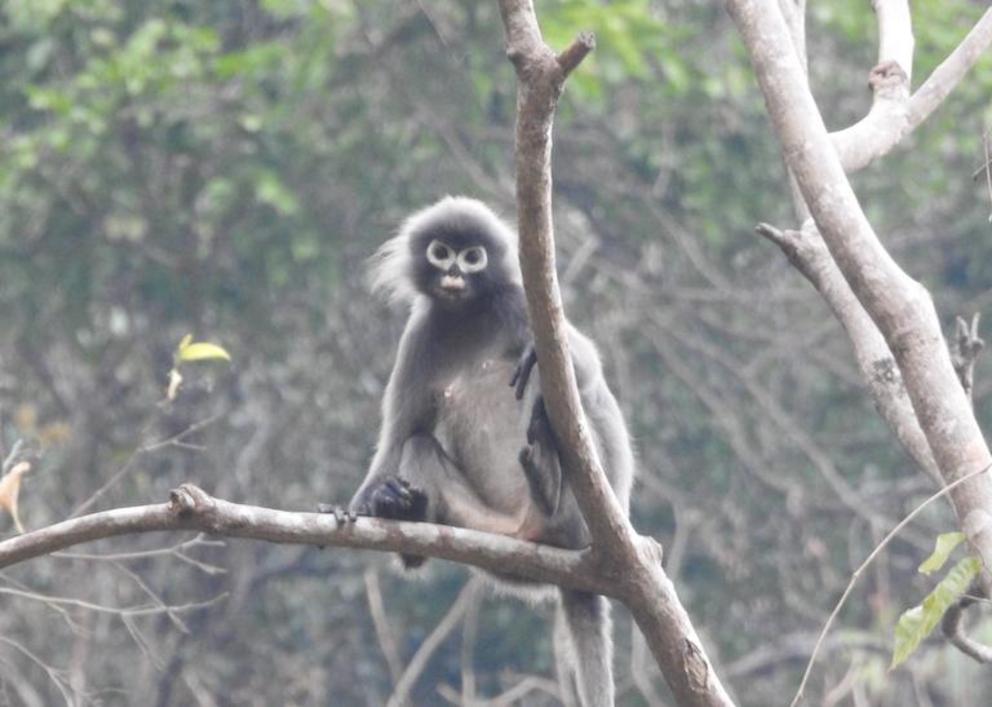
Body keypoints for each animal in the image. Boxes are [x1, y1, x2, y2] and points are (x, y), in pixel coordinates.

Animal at [340, 195, 636, 707]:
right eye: (442, 251)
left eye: (473, 256)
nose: (456, 272)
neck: (467, 314)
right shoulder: (421, 332)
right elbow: (398, 437)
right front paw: (371, 502)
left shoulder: (518, 304)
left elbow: (585, 373)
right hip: (487, 531)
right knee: (419, 444)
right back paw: (409, 519)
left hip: (582, 516)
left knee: (558, 395)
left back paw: (546, 474)